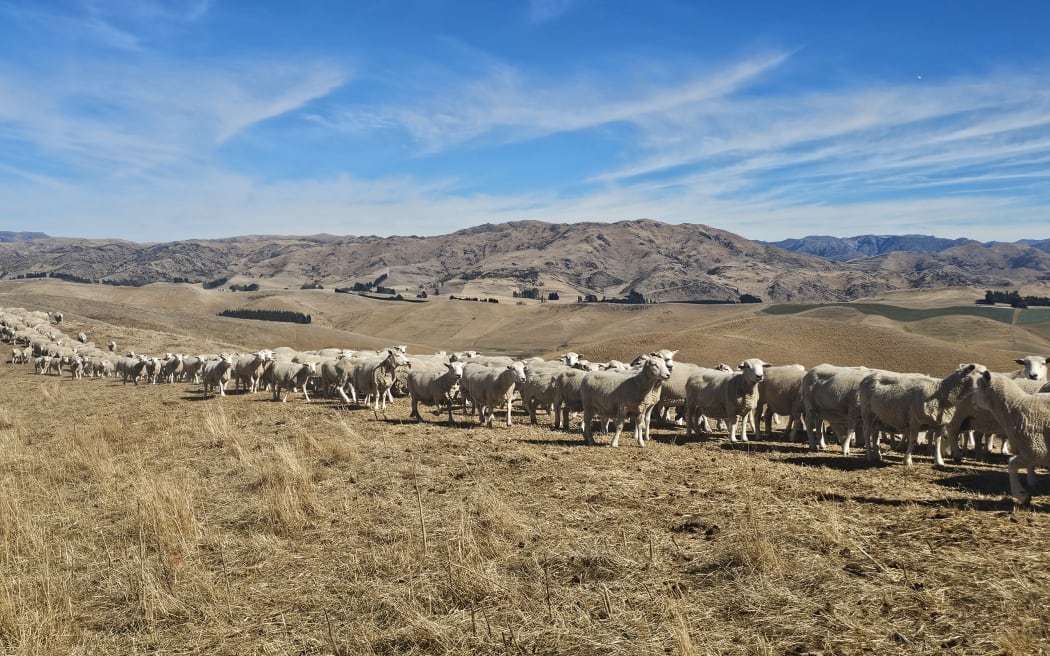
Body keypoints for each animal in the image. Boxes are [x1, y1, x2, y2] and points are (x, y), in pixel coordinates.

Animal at [961, 371, 1050, 503]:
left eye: (977, 387)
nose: (971, 403)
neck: (1015, 405)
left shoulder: (1038, 449)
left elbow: (1011, 465)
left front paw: (1021, 494)